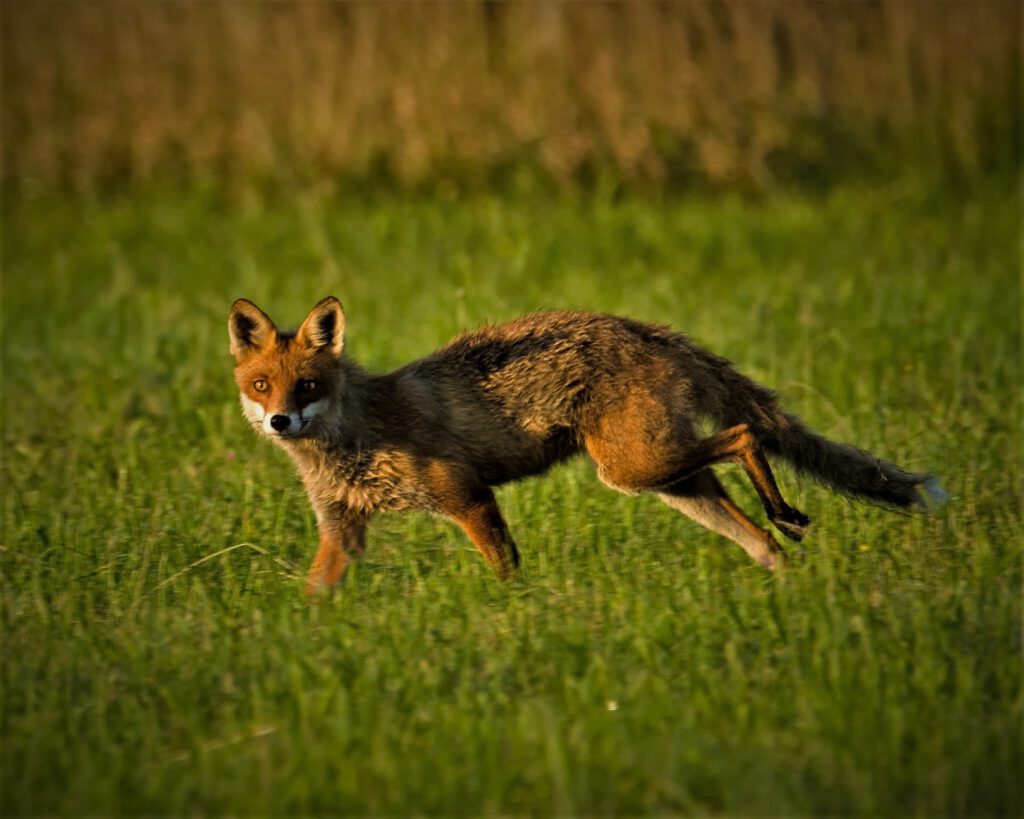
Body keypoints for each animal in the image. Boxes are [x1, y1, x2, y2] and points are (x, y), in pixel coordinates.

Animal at [230, 296, 942, 593]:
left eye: (309, 385)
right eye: (263, 385)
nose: (281, 423)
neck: (355, 438)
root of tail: (646, 329)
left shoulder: (468, 498)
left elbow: (506, 573)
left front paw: (515, 617)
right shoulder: (342, 530)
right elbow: (314, 594)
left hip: (632, 468)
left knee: (743, 436)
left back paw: (784, 511)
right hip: (667, 479)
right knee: (757, 533)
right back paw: (785, 568)